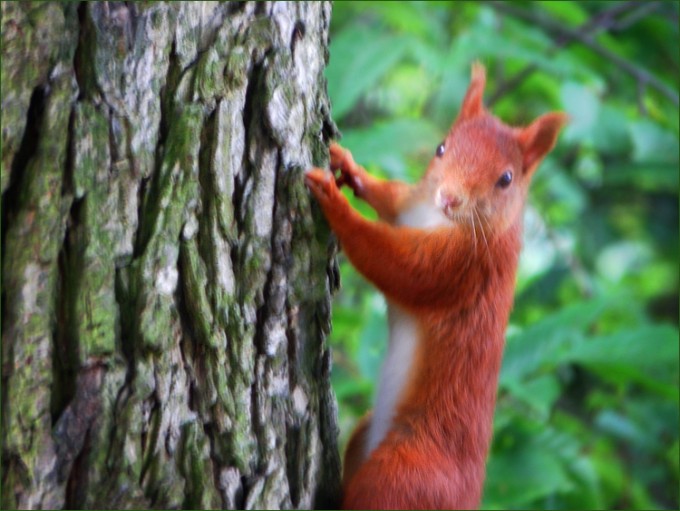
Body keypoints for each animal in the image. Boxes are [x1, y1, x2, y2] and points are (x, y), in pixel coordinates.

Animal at [305, 62, 566, 510]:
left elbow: (393, 263)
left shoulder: (462, 268)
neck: (437, 219)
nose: (449, 198)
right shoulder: (410, 207)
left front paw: (335, 201)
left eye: (506, 179)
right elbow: (391, 197)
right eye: (441, 148)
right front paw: (348, 166)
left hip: (400, 477)